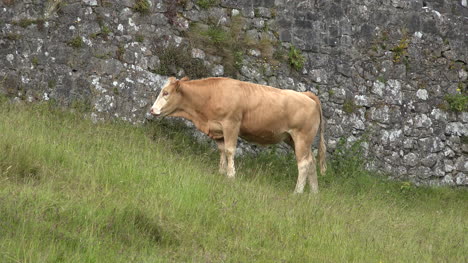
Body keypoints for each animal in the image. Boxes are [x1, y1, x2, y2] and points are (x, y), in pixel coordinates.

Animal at [150, 76, 326, 194]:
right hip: (295, 139)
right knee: (311, 162)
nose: (152, 110)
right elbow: (222, 151)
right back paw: (314, 193)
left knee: (303, 164)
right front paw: (221, 172)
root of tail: (306, 94)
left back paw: (297, 192)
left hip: (302, 137)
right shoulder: (218, 130)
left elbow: (229, 150)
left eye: (165, 93)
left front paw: (230, 175)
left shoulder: (231, 124)